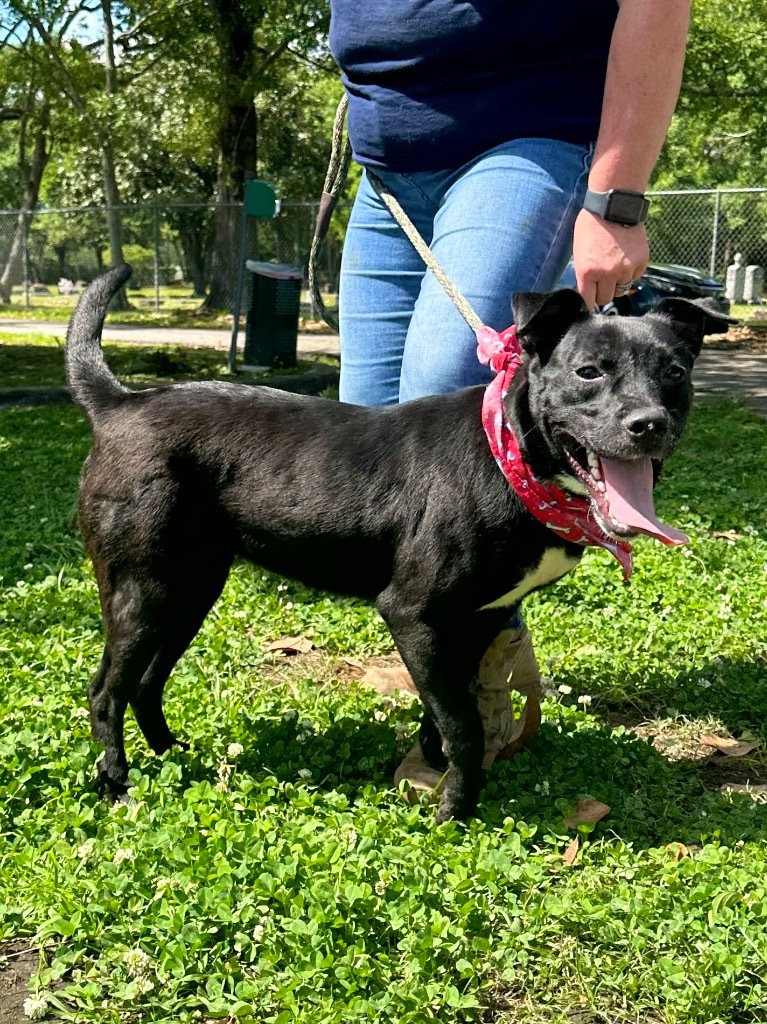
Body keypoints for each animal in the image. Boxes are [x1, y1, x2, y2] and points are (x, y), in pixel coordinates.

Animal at [66, 266, 729, 823]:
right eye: (590, 371)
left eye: (675, 373)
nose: (650, 424)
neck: (510, 459)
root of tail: (121, 402)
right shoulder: (414, 615)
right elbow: (462, 723)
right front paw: (455, 812)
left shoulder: (477, 619)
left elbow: (451, 712)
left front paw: (433, 769)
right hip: (142, 591)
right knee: (105, 692)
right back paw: (117, 784)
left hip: (191, 589)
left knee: (145, 682)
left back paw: (171, 753)